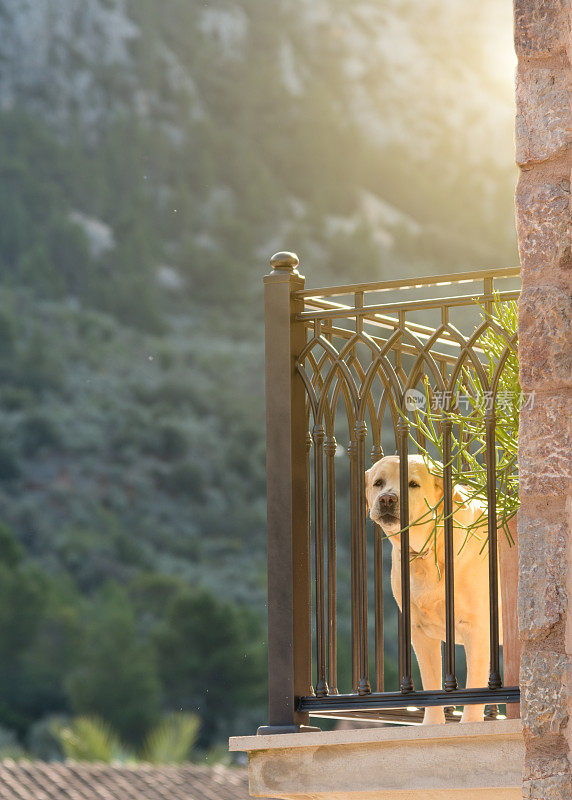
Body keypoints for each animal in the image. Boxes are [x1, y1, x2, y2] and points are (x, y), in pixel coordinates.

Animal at [366, 456, 500, 724]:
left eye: (413, 484)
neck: (426, 553)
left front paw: (469, 725)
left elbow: (474, 689)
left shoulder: (478, 630)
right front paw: (432, 724)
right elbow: (431, 683)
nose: (387, 499)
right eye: (378, 483)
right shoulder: (420, 631)